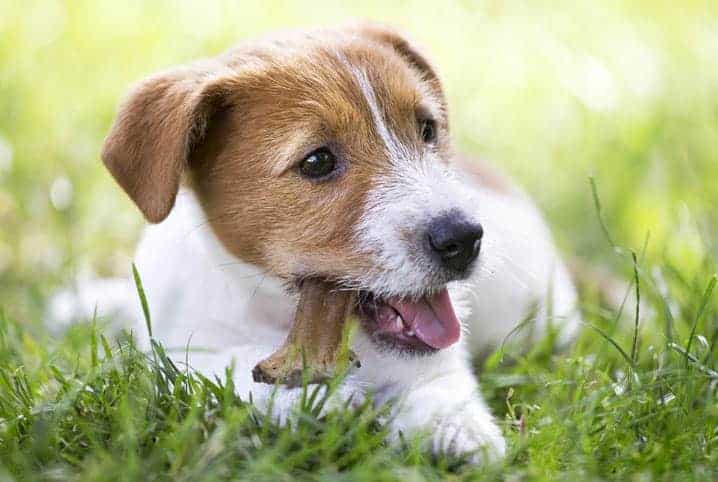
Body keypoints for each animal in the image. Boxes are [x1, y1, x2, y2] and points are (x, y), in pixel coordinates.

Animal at [66, 23, 584, 464]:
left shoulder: (437, 365)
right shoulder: (177, 356)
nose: (463, 237)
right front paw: (305, 395)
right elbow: (220, 367)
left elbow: (441, 389)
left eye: (427, 130)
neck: (281, 312)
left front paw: (456, 431)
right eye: (317, 161)